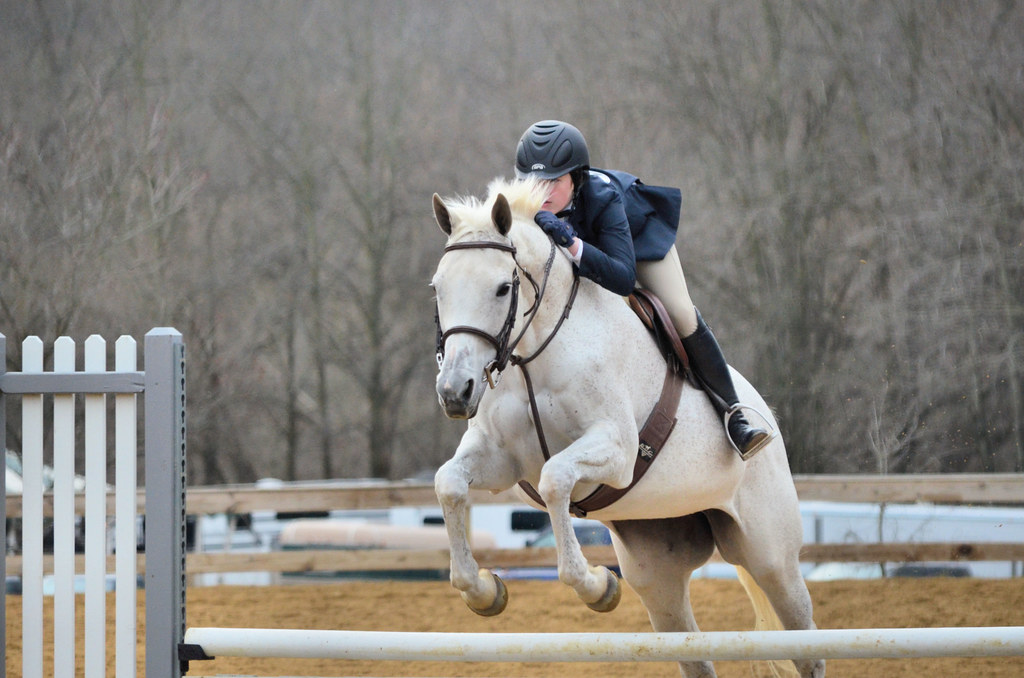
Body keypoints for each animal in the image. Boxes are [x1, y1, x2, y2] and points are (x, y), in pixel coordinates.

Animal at [430, 177, 824, 678]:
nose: (454, 392)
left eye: (502, 288)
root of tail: (762, 410)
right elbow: (449, 483)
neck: (535, 353)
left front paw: (596, 585)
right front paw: (483, 590)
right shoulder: (503, 460)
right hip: (656, 569)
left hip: (772, 558)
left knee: (804, 643)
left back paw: (744, 431)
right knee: (693, 650)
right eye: (438, 288)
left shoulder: (616, 451)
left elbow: (556, 479)